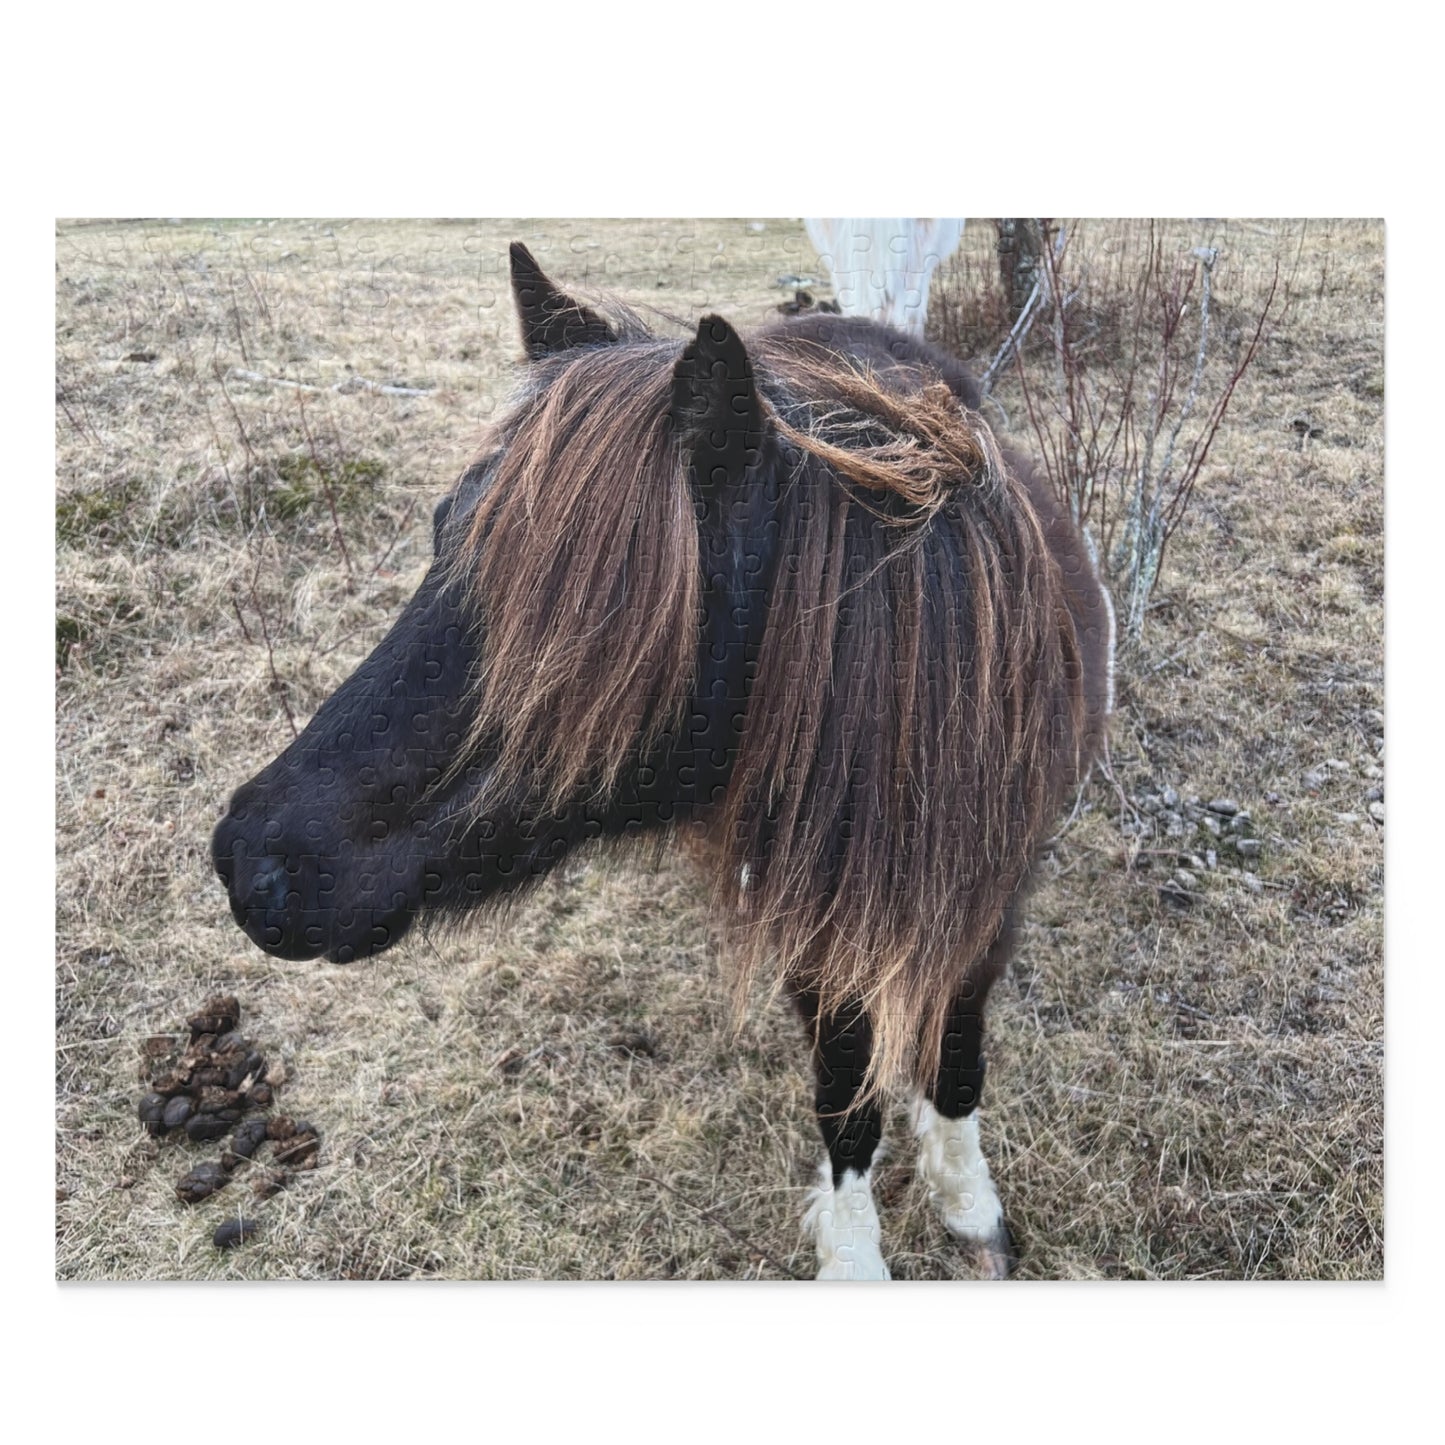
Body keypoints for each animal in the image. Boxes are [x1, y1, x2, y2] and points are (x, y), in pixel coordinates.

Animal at [212, 241, 1116, 1280]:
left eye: (587, 628)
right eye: (441, 539)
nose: (252, 857)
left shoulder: (990, 898)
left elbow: (955, 1056)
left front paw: (967, 1202)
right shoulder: (812, 919)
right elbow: (845, 1087)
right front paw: (854, 1251)